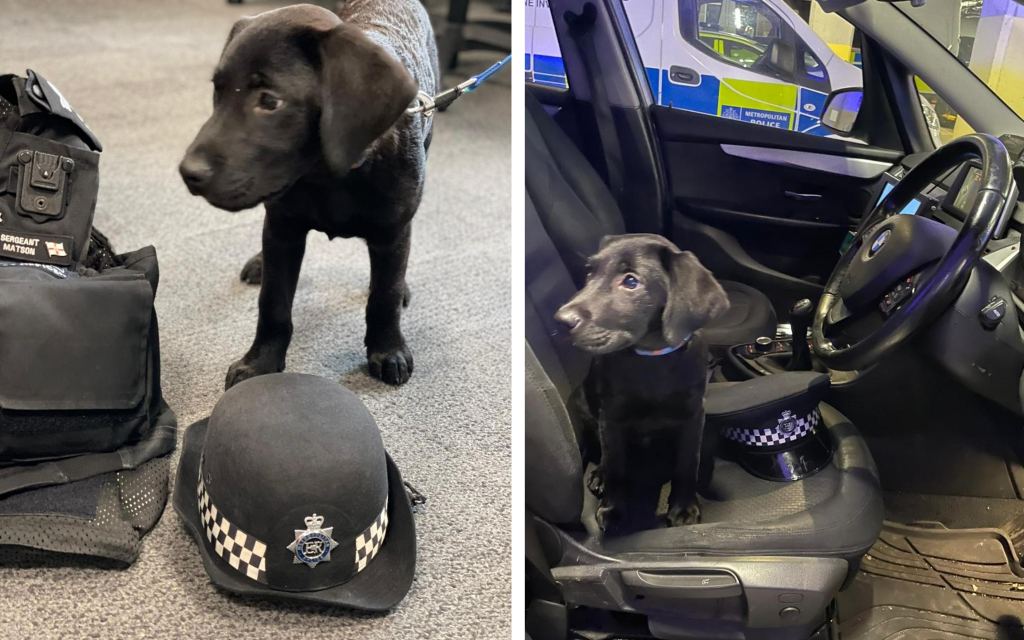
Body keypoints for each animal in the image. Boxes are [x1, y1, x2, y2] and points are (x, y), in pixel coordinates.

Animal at [182, 2, 438, 387]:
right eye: (218, 92)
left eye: (270, 101)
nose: (188, 172)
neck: (329, 175)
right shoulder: (283, 229)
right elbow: (272, 303)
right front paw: (260, 362)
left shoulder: (393, 232)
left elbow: (385, 295)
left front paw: (388, 349)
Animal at [557, 232, 733, 532]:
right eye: (589, 273)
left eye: (631, 281)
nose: (561, 320)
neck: (652, 357)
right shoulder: (611, 418)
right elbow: (615, 465)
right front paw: (613, 510)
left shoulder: (694, 414)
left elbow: (688, 462)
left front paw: (684, 508)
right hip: (584, 404)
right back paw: (599, 475)